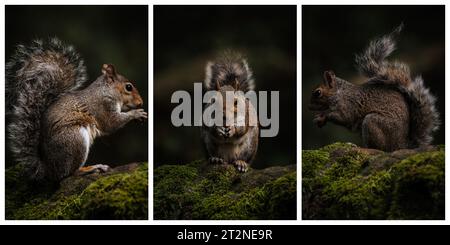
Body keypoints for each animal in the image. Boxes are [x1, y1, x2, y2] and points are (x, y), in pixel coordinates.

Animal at [6, 37, 148, 181]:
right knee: (69, 173)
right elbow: (111, 123)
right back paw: (92, 168)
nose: (141, 102)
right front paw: (136, 114)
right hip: (75, 139)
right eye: (128, 87)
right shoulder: (103, 106)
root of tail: (48, 169)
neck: (106, 91)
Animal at [310, 25, 440, 151]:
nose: (309, 107)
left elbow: (343, 117)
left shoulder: (347, 105)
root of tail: (401, 145)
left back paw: (360, 146)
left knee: (380, 148)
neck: (339, 92)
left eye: (318, 93)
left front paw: (323, 115)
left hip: (372, 122)